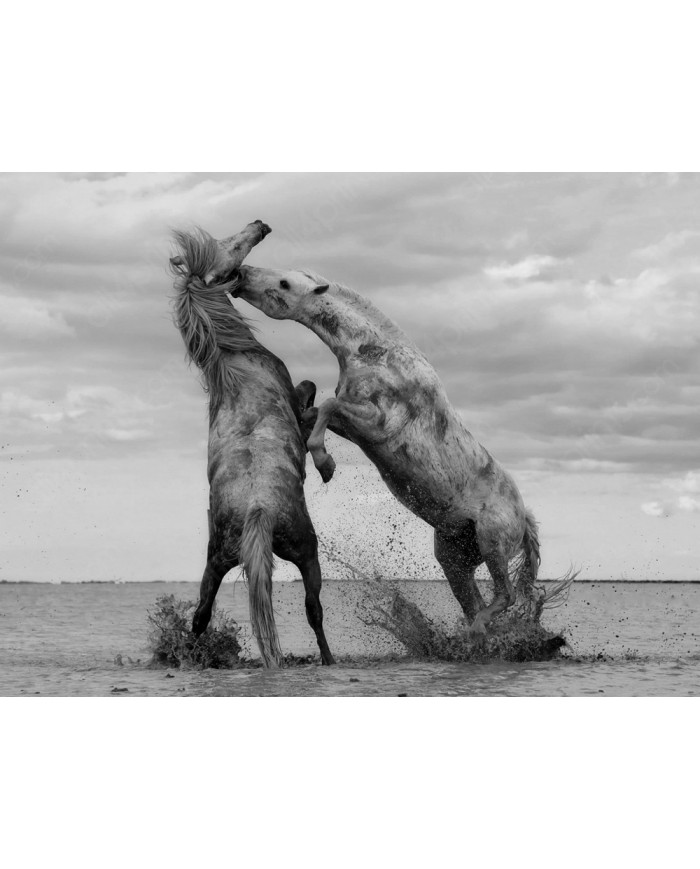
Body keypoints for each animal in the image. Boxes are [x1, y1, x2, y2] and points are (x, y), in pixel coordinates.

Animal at [169, 227, 334, 666]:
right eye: (229, 246)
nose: (260, 225)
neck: (232, 362)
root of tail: (258, 509)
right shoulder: (296, 398)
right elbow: (311, 399)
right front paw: (325, 463)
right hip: (308, 553)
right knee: (314, 611)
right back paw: (329, 659)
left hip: (216, 562)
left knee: (201, 614)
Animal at [203, 258, 567, 636]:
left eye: (285, 283)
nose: (241, 274)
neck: (378, 356)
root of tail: (523, 517)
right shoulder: (353, 425)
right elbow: (319, 412)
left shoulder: (376, 423)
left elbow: (328, 406)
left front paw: (325, 464)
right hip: (454, 556)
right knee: (473, 600)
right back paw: (474, 635)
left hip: (492, 542)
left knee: (504, 595)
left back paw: (478, 628)